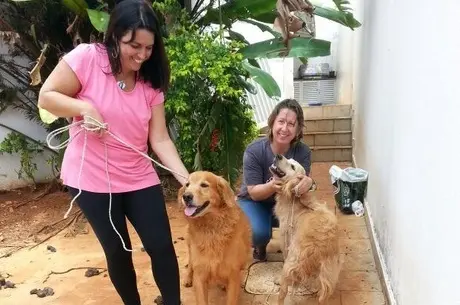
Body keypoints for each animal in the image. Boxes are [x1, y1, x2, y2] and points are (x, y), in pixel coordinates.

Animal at [178, 170, 252, 304]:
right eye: (187, 185)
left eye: (204, 185)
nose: (186, 196)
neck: (212, 229)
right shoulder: (200, 275)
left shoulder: (233, 275)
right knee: (190, 262)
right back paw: (188, 278)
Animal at [270, 154, 342, 304]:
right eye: (288, 159)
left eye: (292, 166)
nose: (278, 155)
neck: (294, 199)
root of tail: (321, 248)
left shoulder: (285, 238)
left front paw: (278, 280)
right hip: (331, 269)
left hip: (291, 262)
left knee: (283, 292)